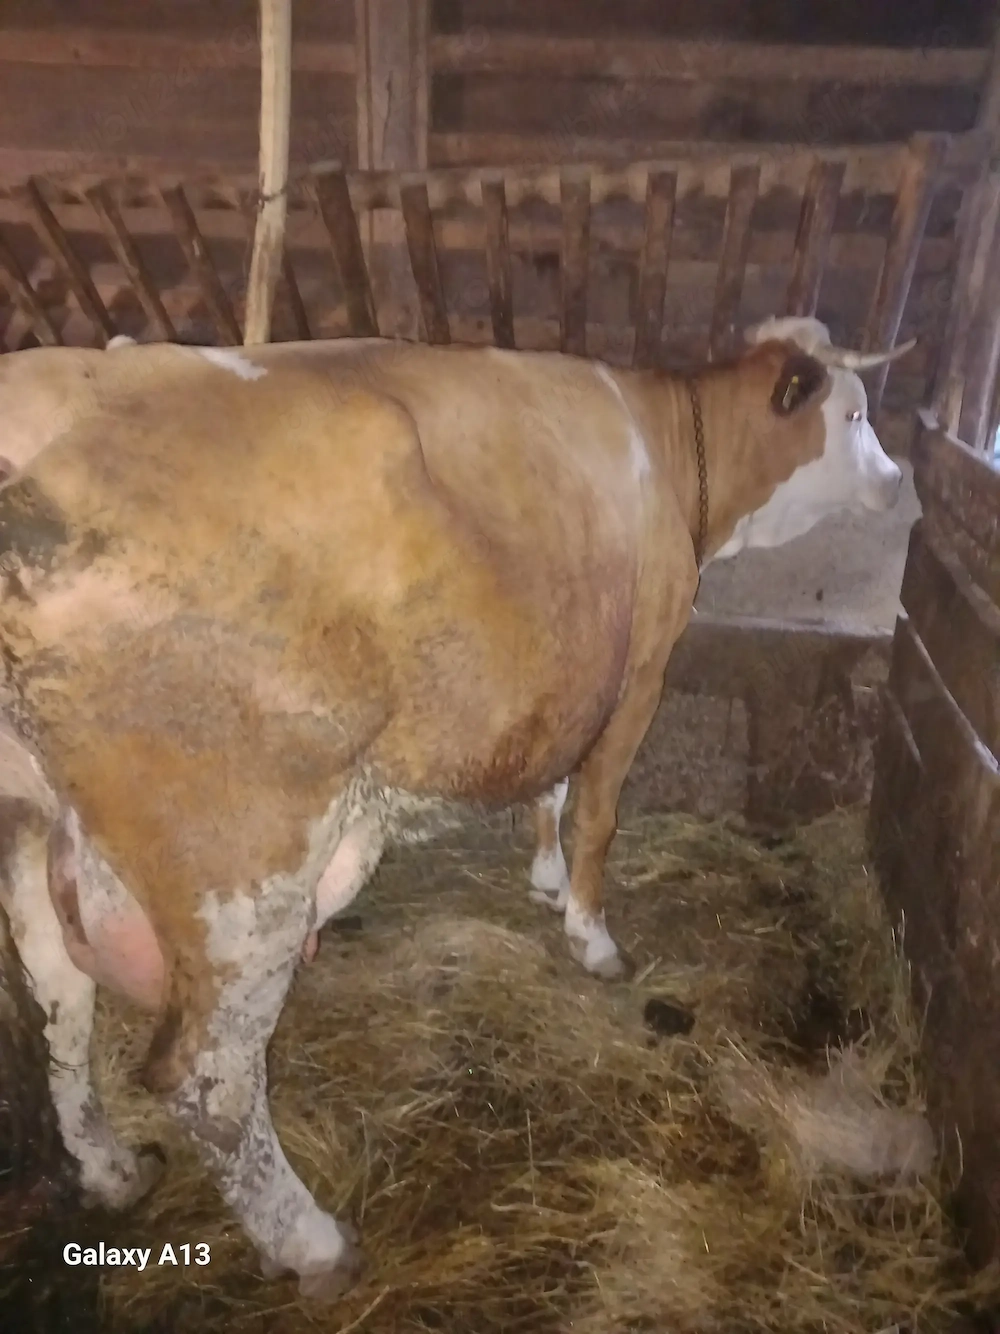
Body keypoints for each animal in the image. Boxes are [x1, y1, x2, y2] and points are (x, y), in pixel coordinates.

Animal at [0, 317, 910, 1297]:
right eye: (855, 413)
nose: (899, 480)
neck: (672, 452)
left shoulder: (567, 667)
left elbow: (552, 785)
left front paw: (545, 879)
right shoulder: (639, 671)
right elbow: (597, 814)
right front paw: (592, 935)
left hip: (36, 822)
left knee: (60, 1001)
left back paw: (109, 1169)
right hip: (238, 858)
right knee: (209, 1076)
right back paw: (311, 1243)